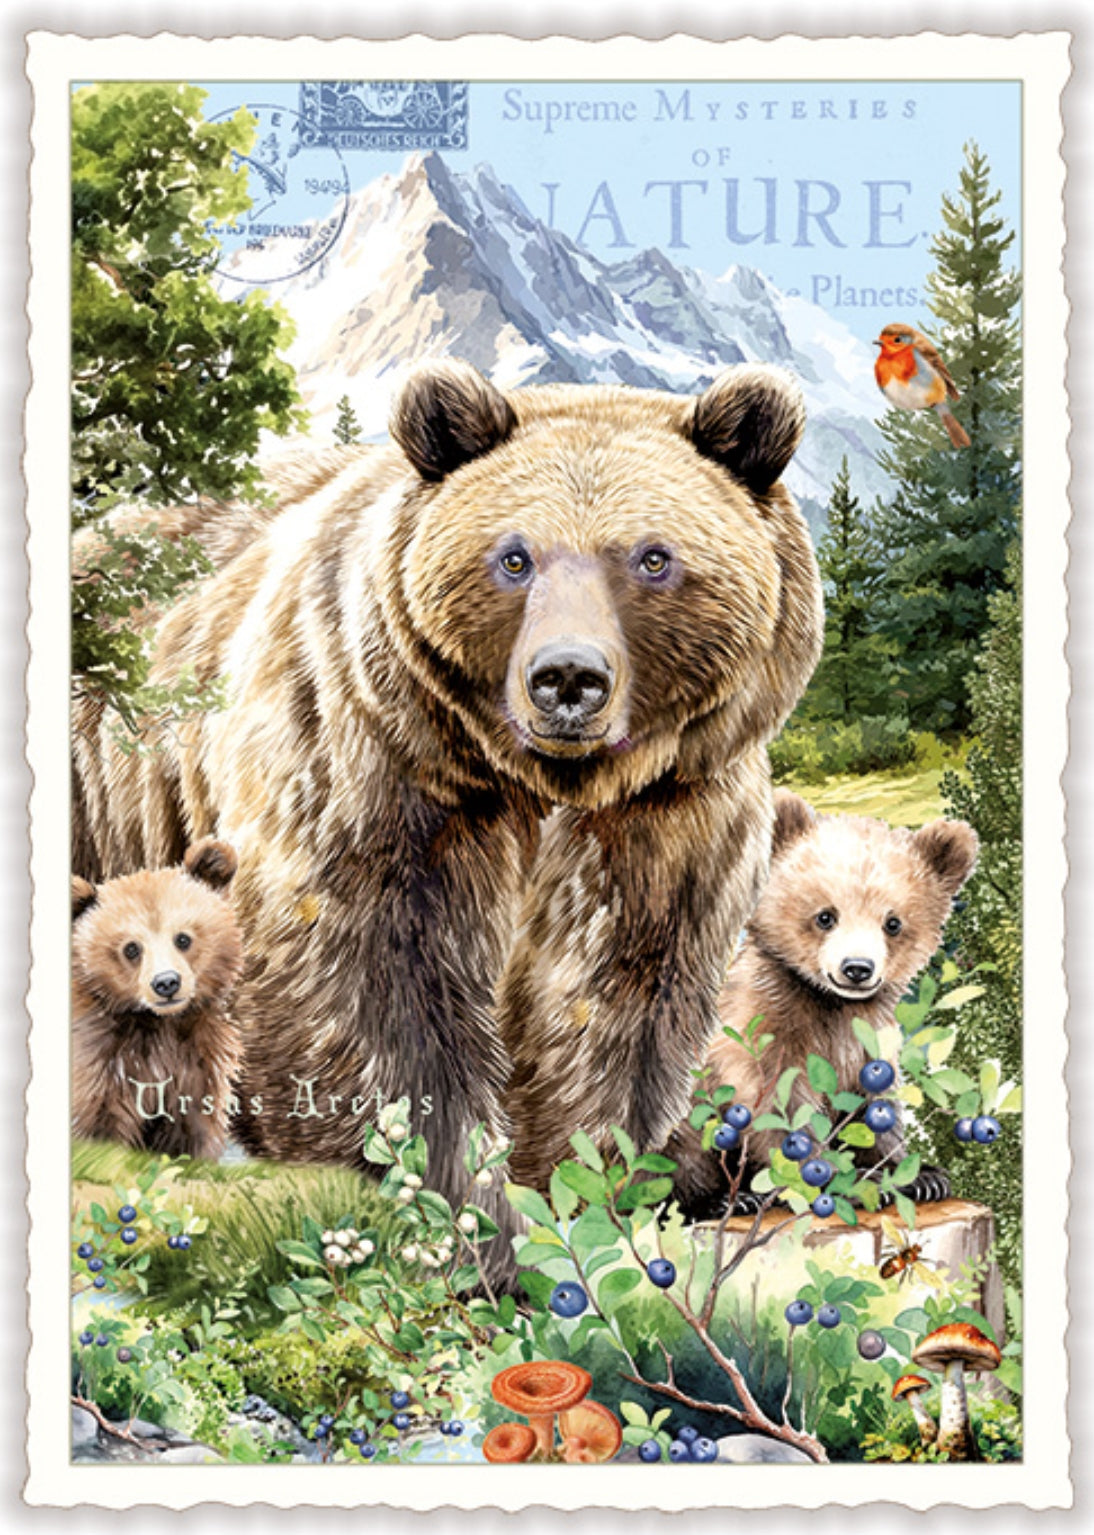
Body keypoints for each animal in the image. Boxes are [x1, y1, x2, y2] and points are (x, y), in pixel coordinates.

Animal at [71, 839, 245, 1161]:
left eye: (183, 938)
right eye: (131, 948)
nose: (166, 983)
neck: (156, 1023)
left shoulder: (195, 1059)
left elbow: (191, 1128)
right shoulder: (98, 1060)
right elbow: (96, 1126)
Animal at [664, 789, 980, 1220]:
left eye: (893, 923)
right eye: (825, 916)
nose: (857, 968)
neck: (830, 1005)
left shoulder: (866, 1040)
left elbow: (873, 1106)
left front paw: (919, 1176)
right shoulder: (763, 1034)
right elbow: (780, 1108)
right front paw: (833, 1180)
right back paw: (724, 1199)